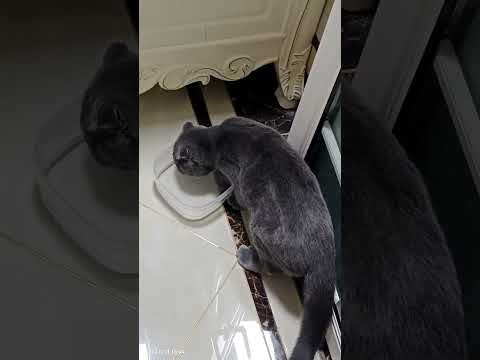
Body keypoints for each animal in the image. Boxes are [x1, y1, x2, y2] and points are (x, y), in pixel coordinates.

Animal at [174, 116, 336, 358]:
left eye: (178, 159)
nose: (175, 165)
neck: (218, 137)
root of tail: (325, 257)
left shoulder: (234, 176)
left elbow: (237, 193)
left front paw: (231, 200)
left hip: (261, 231)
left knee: (273, 267)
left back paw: (247, 257)